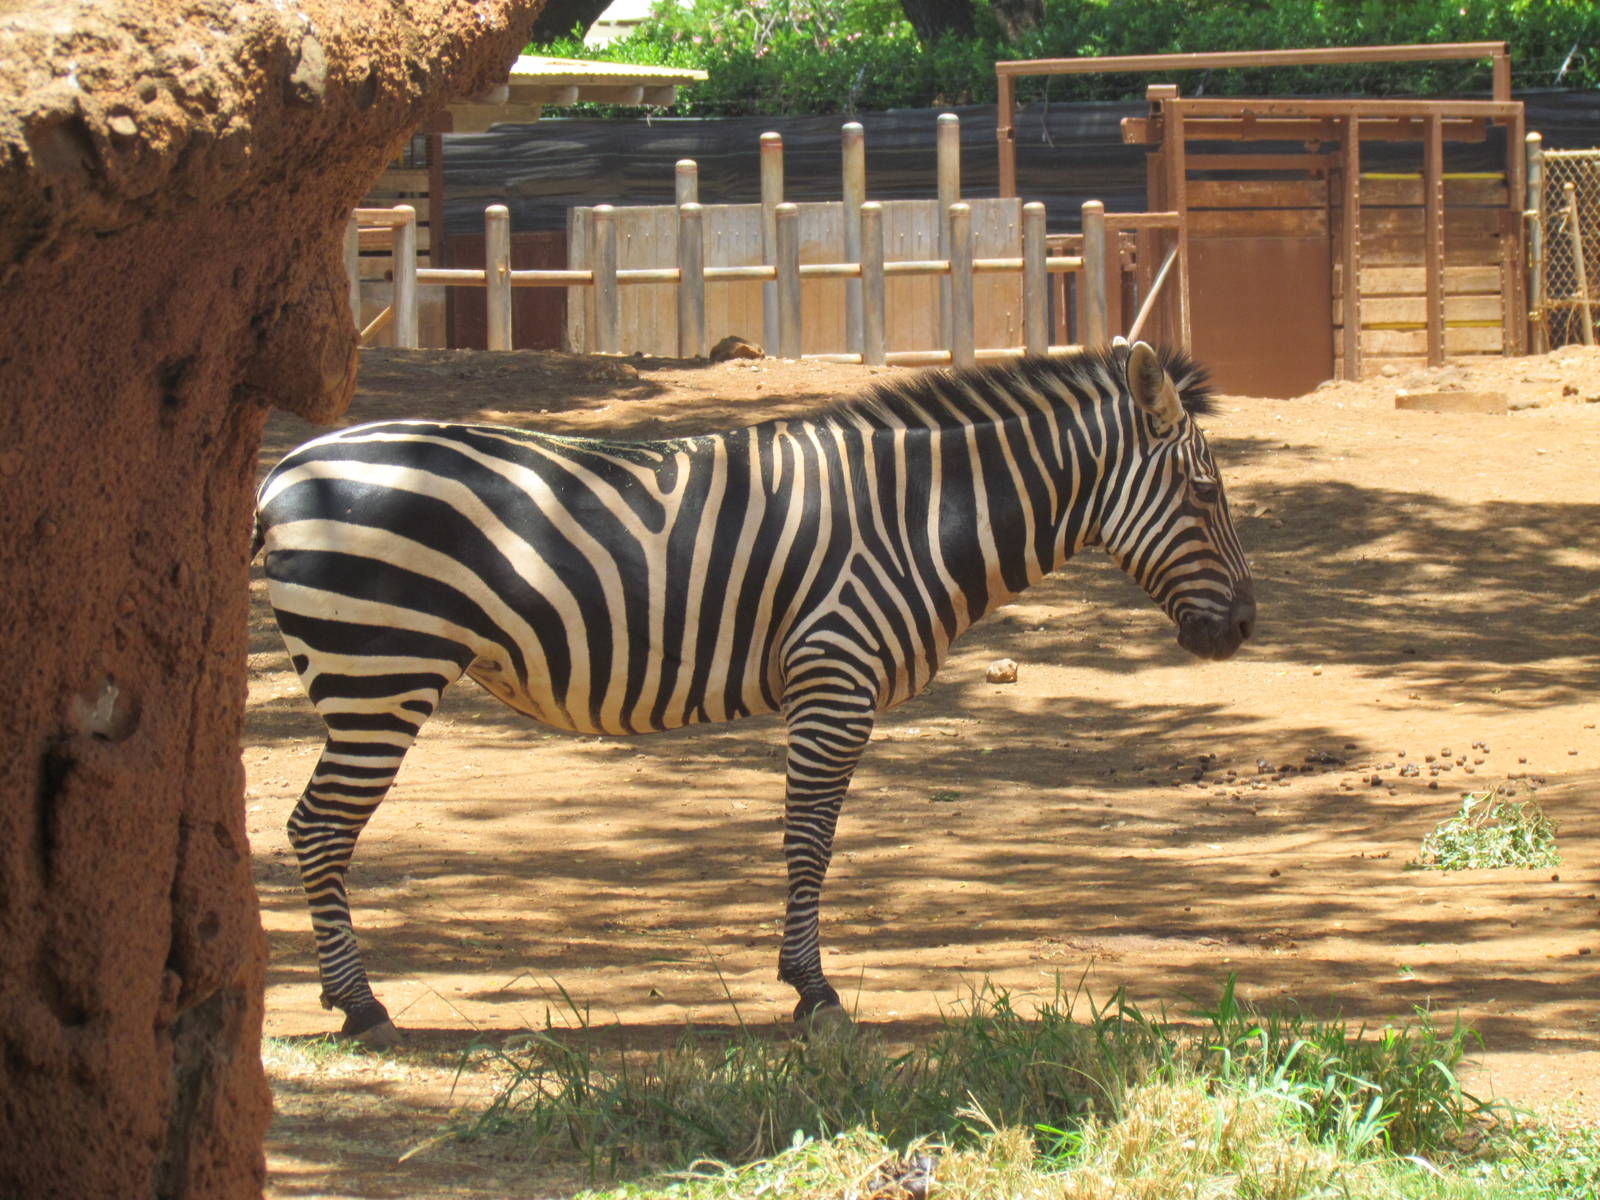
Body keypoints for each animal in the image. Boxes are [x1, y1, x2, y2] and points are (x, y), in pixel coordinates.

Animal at [253, 341, 1254, 1045]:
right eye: (1205, 495)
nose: (1245, 628)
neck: (920, 517)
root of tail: (286, 469)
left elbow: (806, 840)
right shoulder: (833, 677)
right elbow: (809, 840)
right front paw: (813, 992)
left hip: (367, 680)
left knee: (315, 828)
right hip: (378, 676)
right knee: (318, 829)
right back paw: (362, 1008)